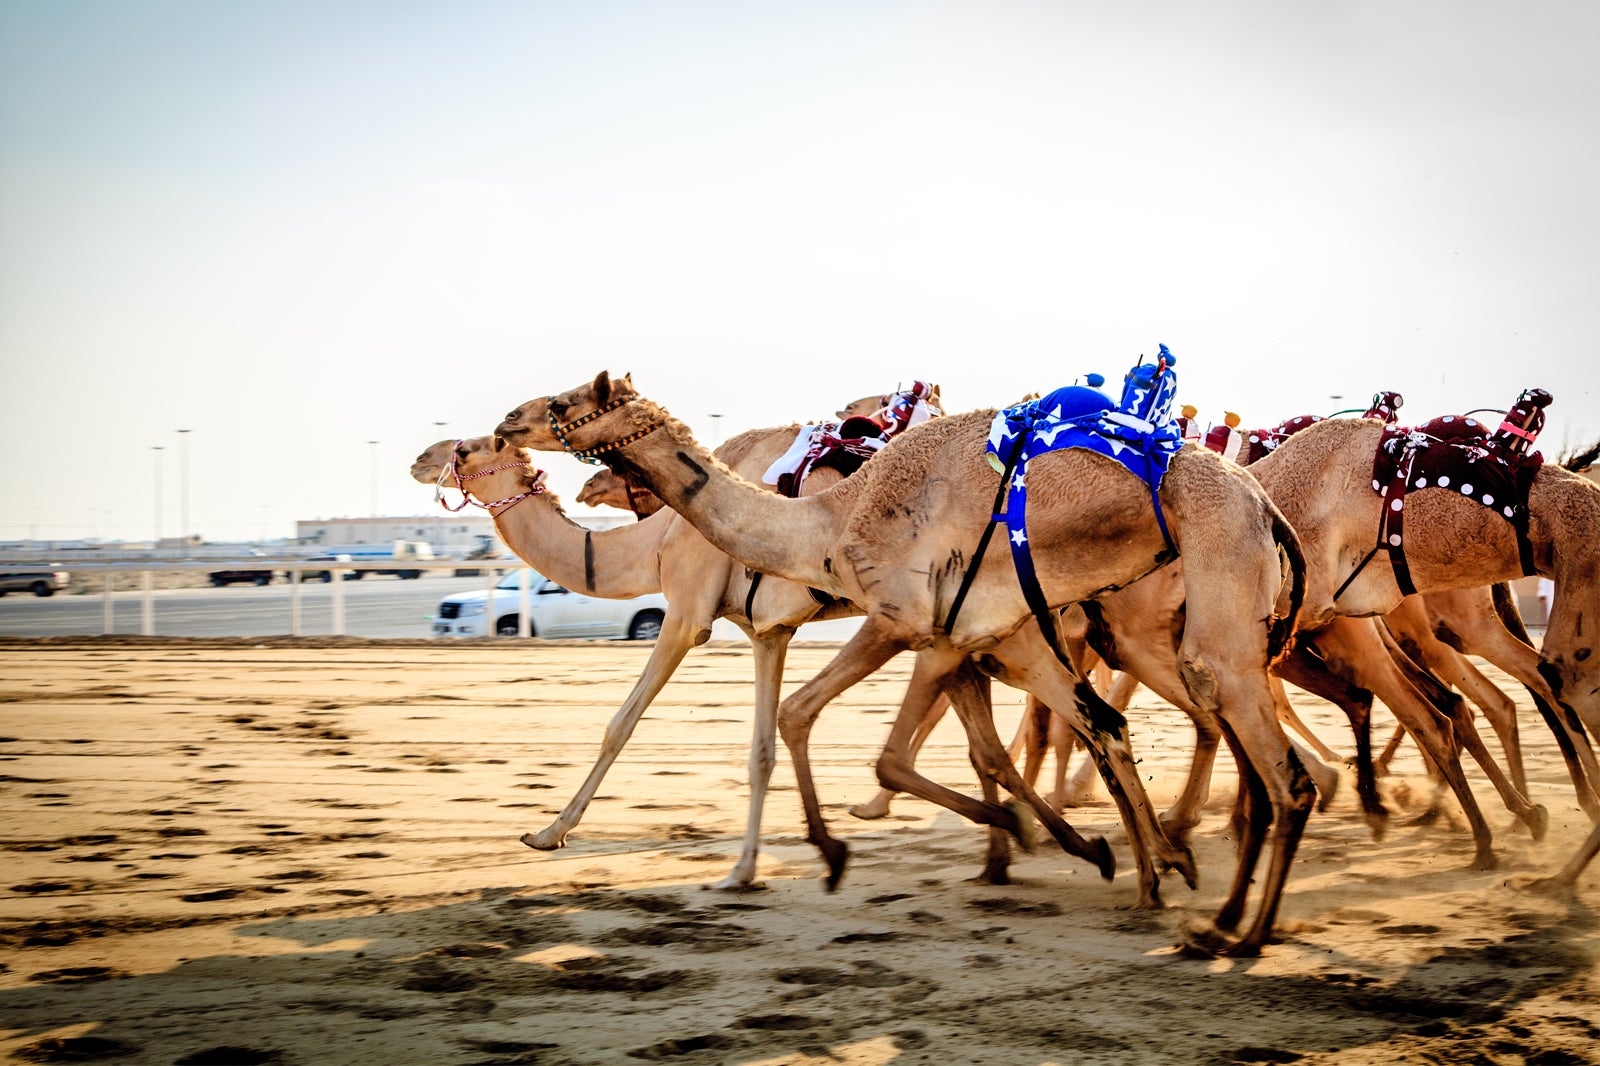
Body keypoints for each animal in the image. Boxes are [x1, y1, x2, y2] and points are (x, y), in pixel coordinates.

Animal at [499, 368, 1312, 953]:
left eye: (567, 399)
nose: (507, 422)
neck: (831, 520)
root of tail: (1264, 505)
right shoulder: (982, 634)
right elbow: (1002, 744)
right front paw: (1072, 848)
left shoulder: (918, 625)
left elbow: (852, 739)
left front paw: (838, 851)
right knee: (1135, 727)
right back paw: (1174, 881)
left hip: (1206, 606)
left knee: (1270, 763)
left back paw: (1236, 929)